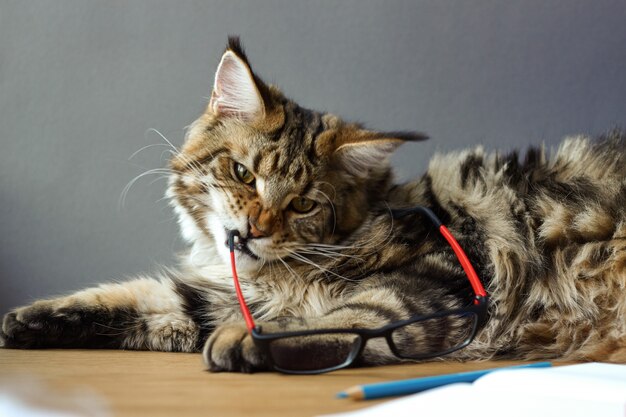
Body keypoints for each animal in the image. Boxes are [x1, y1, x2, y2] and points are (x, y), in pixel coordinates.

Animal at [1, 38, 624, 370]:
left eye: (302, 205)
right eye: (243, 173)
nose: (253, 229)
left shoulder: (433, 283)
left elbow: (343, 318)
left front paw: (248, 341)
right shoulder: (217, 296)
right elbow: (137, 299)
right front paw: (28, 319)